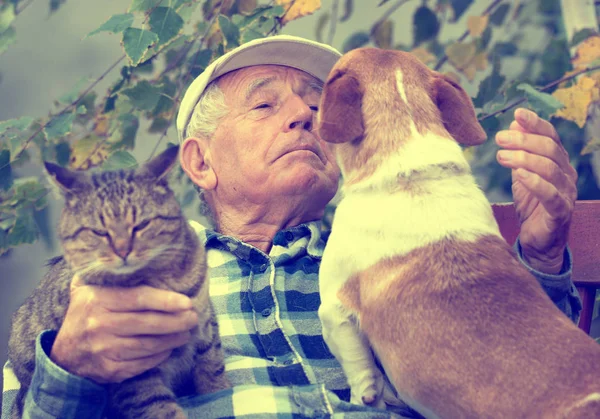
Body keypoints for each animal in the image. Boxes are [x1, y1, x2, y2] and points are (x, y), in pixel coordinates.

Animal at [8, 145, 229, 419]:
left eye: (142, 224)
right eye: (99, 232)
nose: (123, 251)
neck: (164, 282)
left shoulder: (205, 324)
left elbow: (213, 368)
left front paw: (220, 388)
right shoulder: (133, 374)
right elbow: (159, 407)